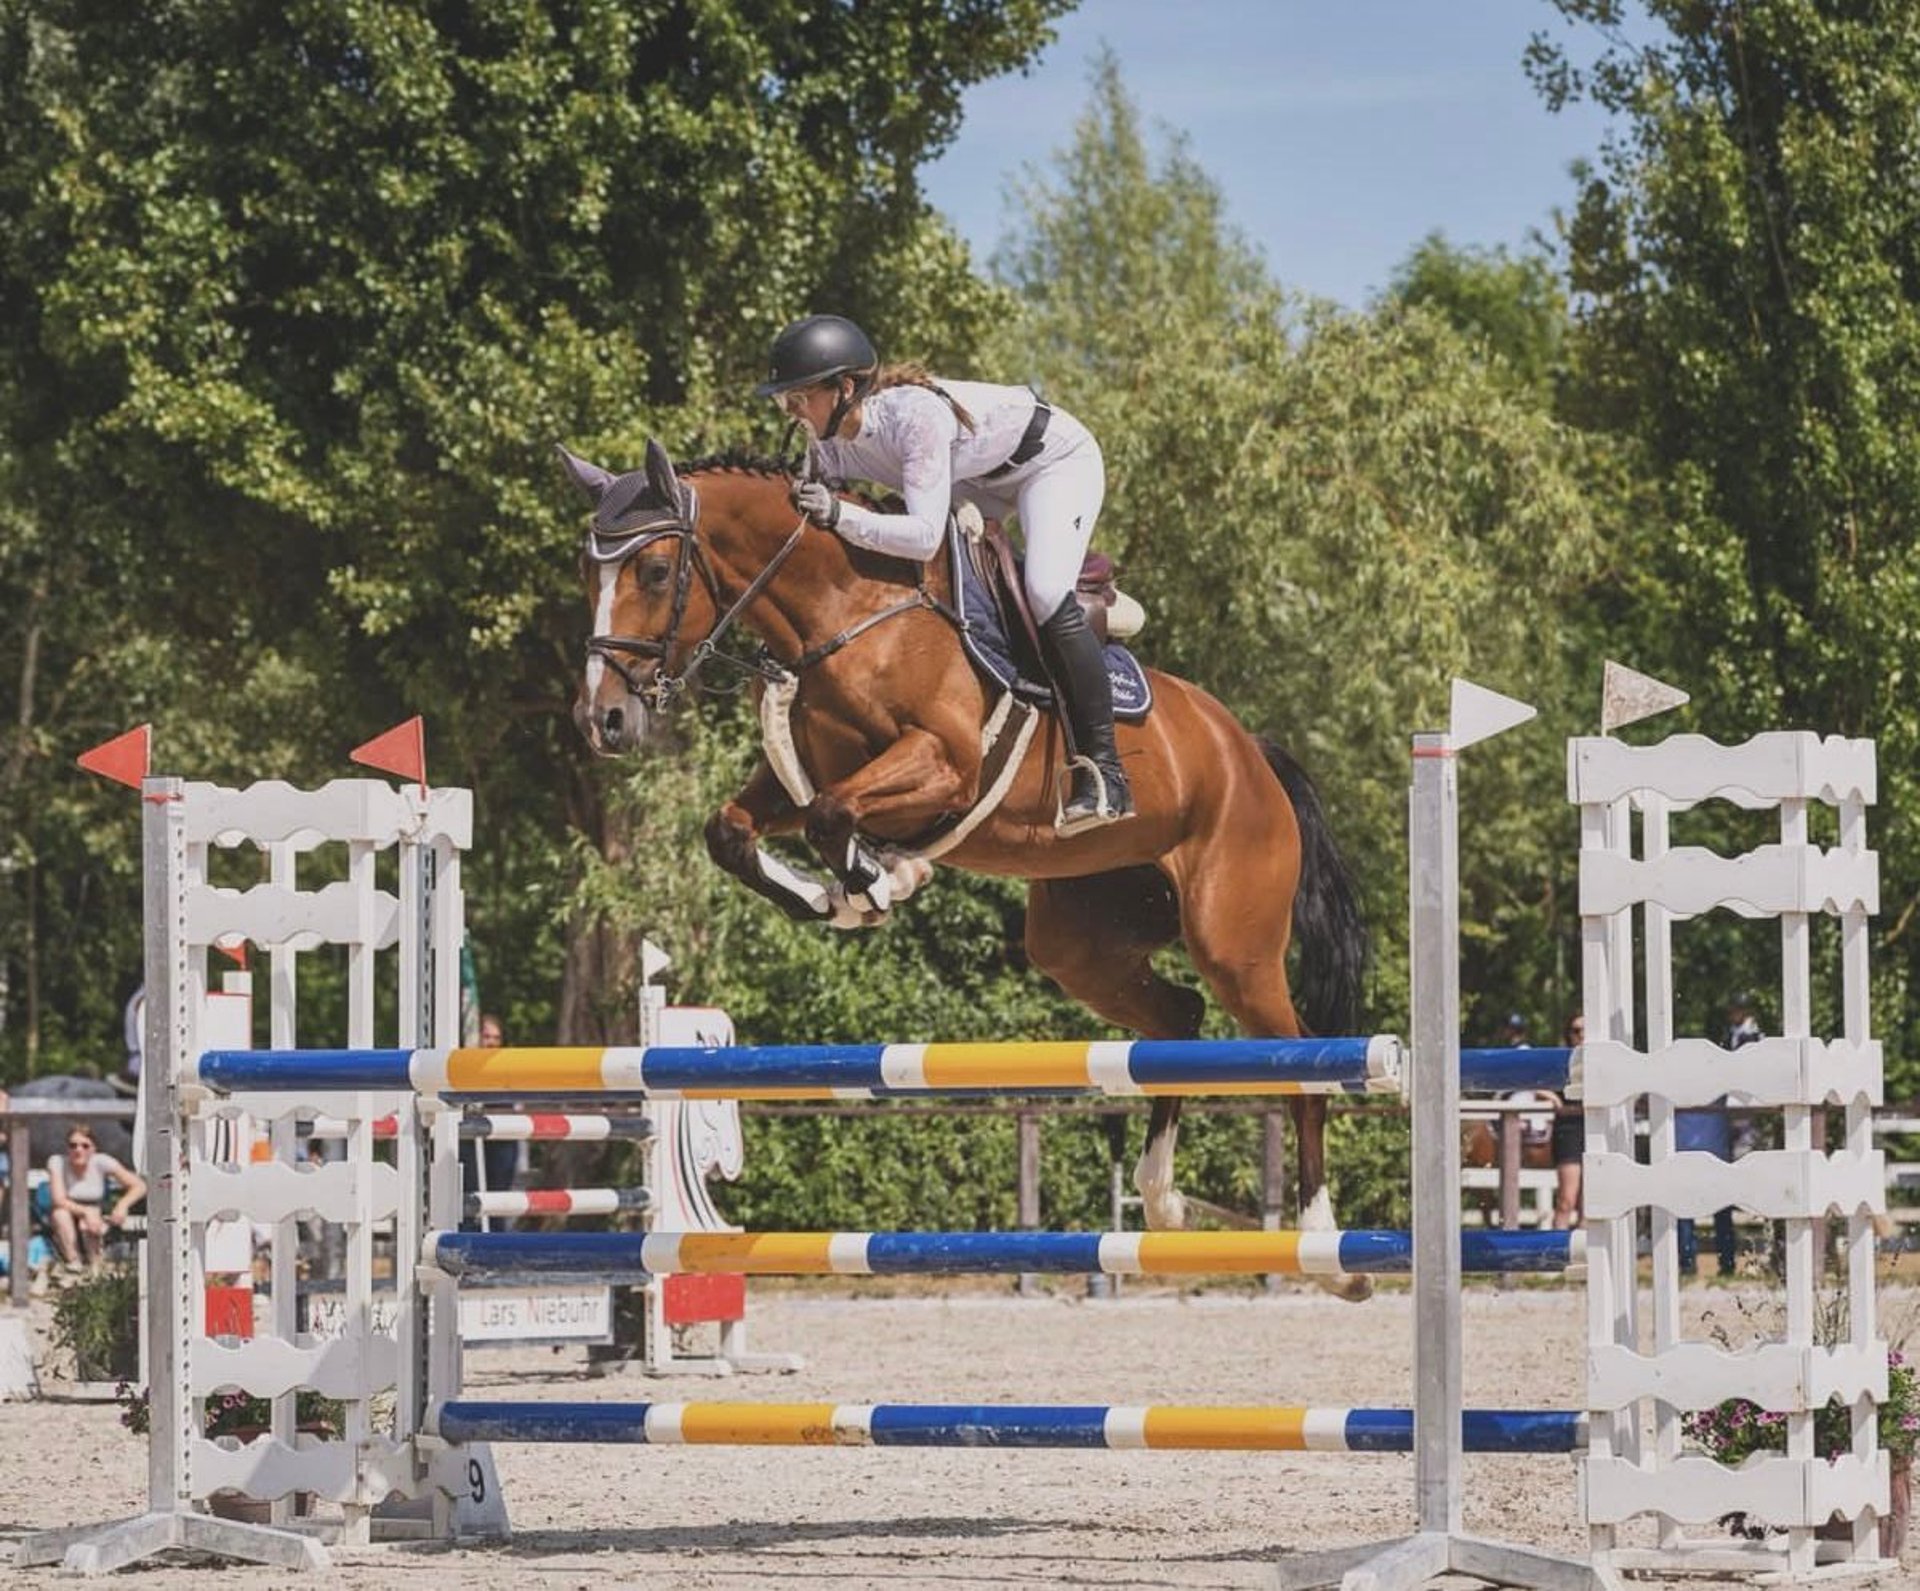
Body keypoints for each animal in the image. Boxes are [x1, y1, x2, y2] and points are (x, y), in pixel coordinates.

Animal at [561, 441, 1372, 1297]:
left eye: (654, 570)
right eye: (587, 571)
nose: (602, 719)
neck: (846, 609)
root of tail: (1252, 753)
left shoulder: (941, 766)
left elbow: (833, 816)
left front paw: (881, 881)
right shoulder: (801, 777)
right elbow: (735, 830)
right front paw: (835, 893)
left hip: (1233, 943)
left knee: (1304, 1060)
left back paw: (1329, 1249)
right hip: (1081, 941)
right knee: (1179, 1019)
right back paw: (1161, 1196)